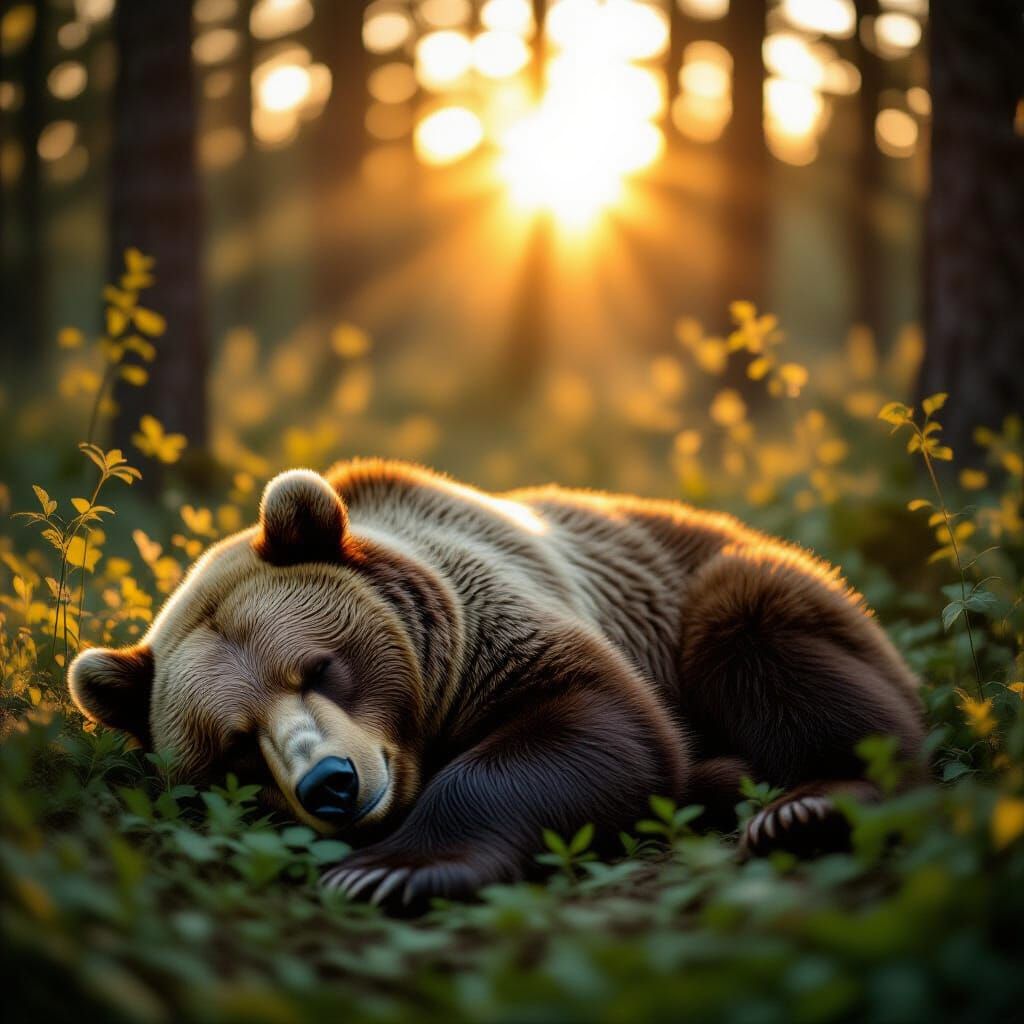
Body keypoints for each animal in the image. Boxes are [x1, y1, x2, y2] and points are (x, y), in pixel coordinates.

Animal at [68, 459, 924, 909]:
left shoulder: (493, 617)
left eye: (319, 668)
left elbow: (594, 722)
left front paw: (387, 871)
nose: (332, 783)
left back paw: (805, 804)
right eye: (238, 744)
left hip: (725, 586)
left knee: (760, 639)